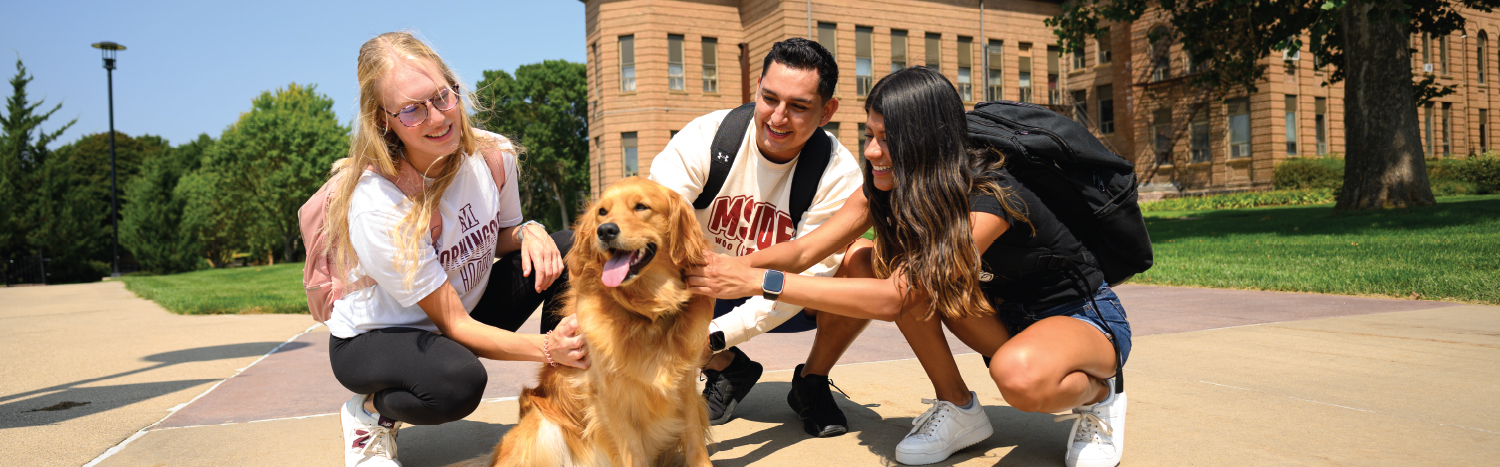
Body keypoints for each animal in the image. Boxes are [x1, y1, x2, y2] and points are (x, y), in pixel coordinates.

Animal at [456, 178, 714, 467]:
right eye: (602, 212)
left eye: (641, 207)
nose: (605, 230)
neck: (646, 314)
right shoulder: (611, 396)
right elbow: (633, 453)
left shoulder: (685, 386)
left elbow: (695, 442)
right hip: (543, 428)